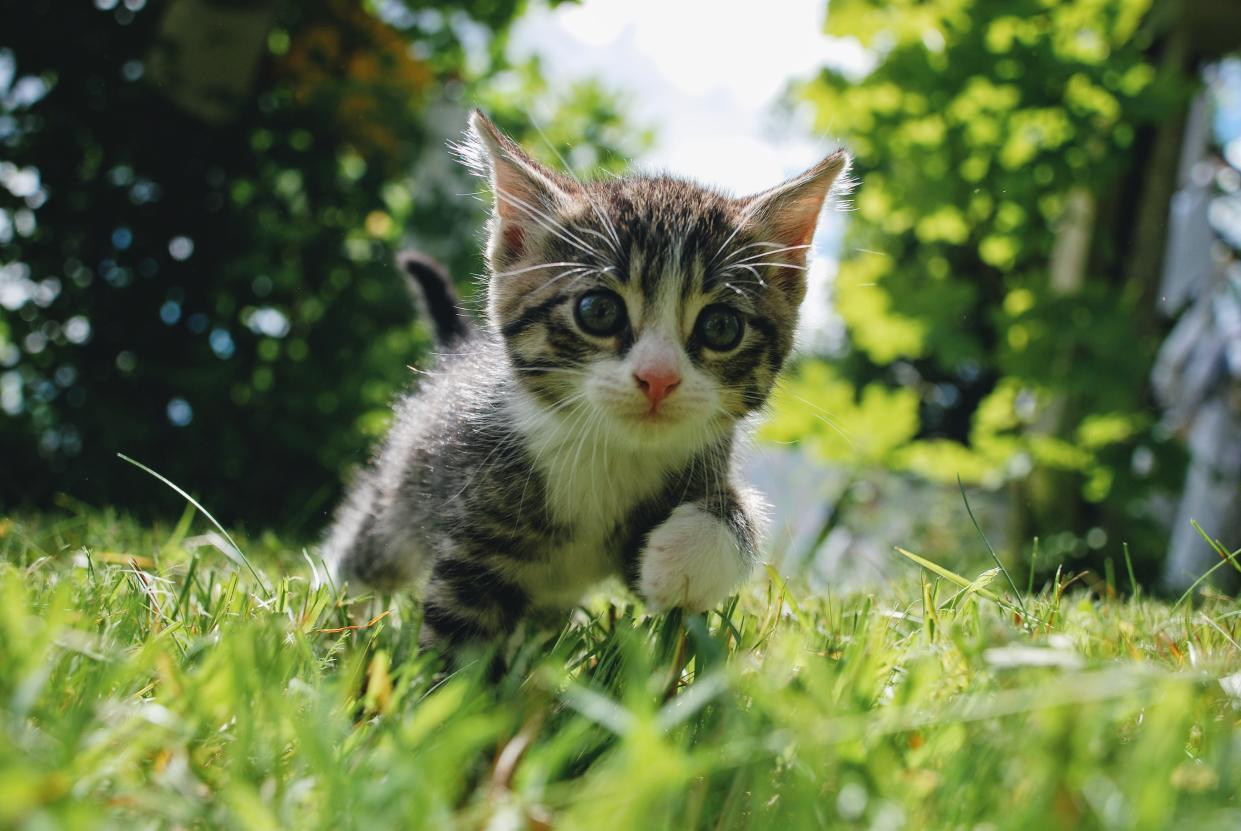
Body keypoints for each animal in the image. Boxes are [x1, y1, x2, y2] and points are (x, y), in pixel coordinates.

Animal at [320, 112, 848, 659]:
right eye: (597, 311)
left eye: (721, 327)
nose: (658, 377)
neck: (611, 452)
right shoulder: (478, 523)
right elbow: (460, 629)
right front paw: (450, 680)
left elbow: (724, 526)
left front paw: (685, 560)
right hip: (402, 497)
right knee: (368, 551)